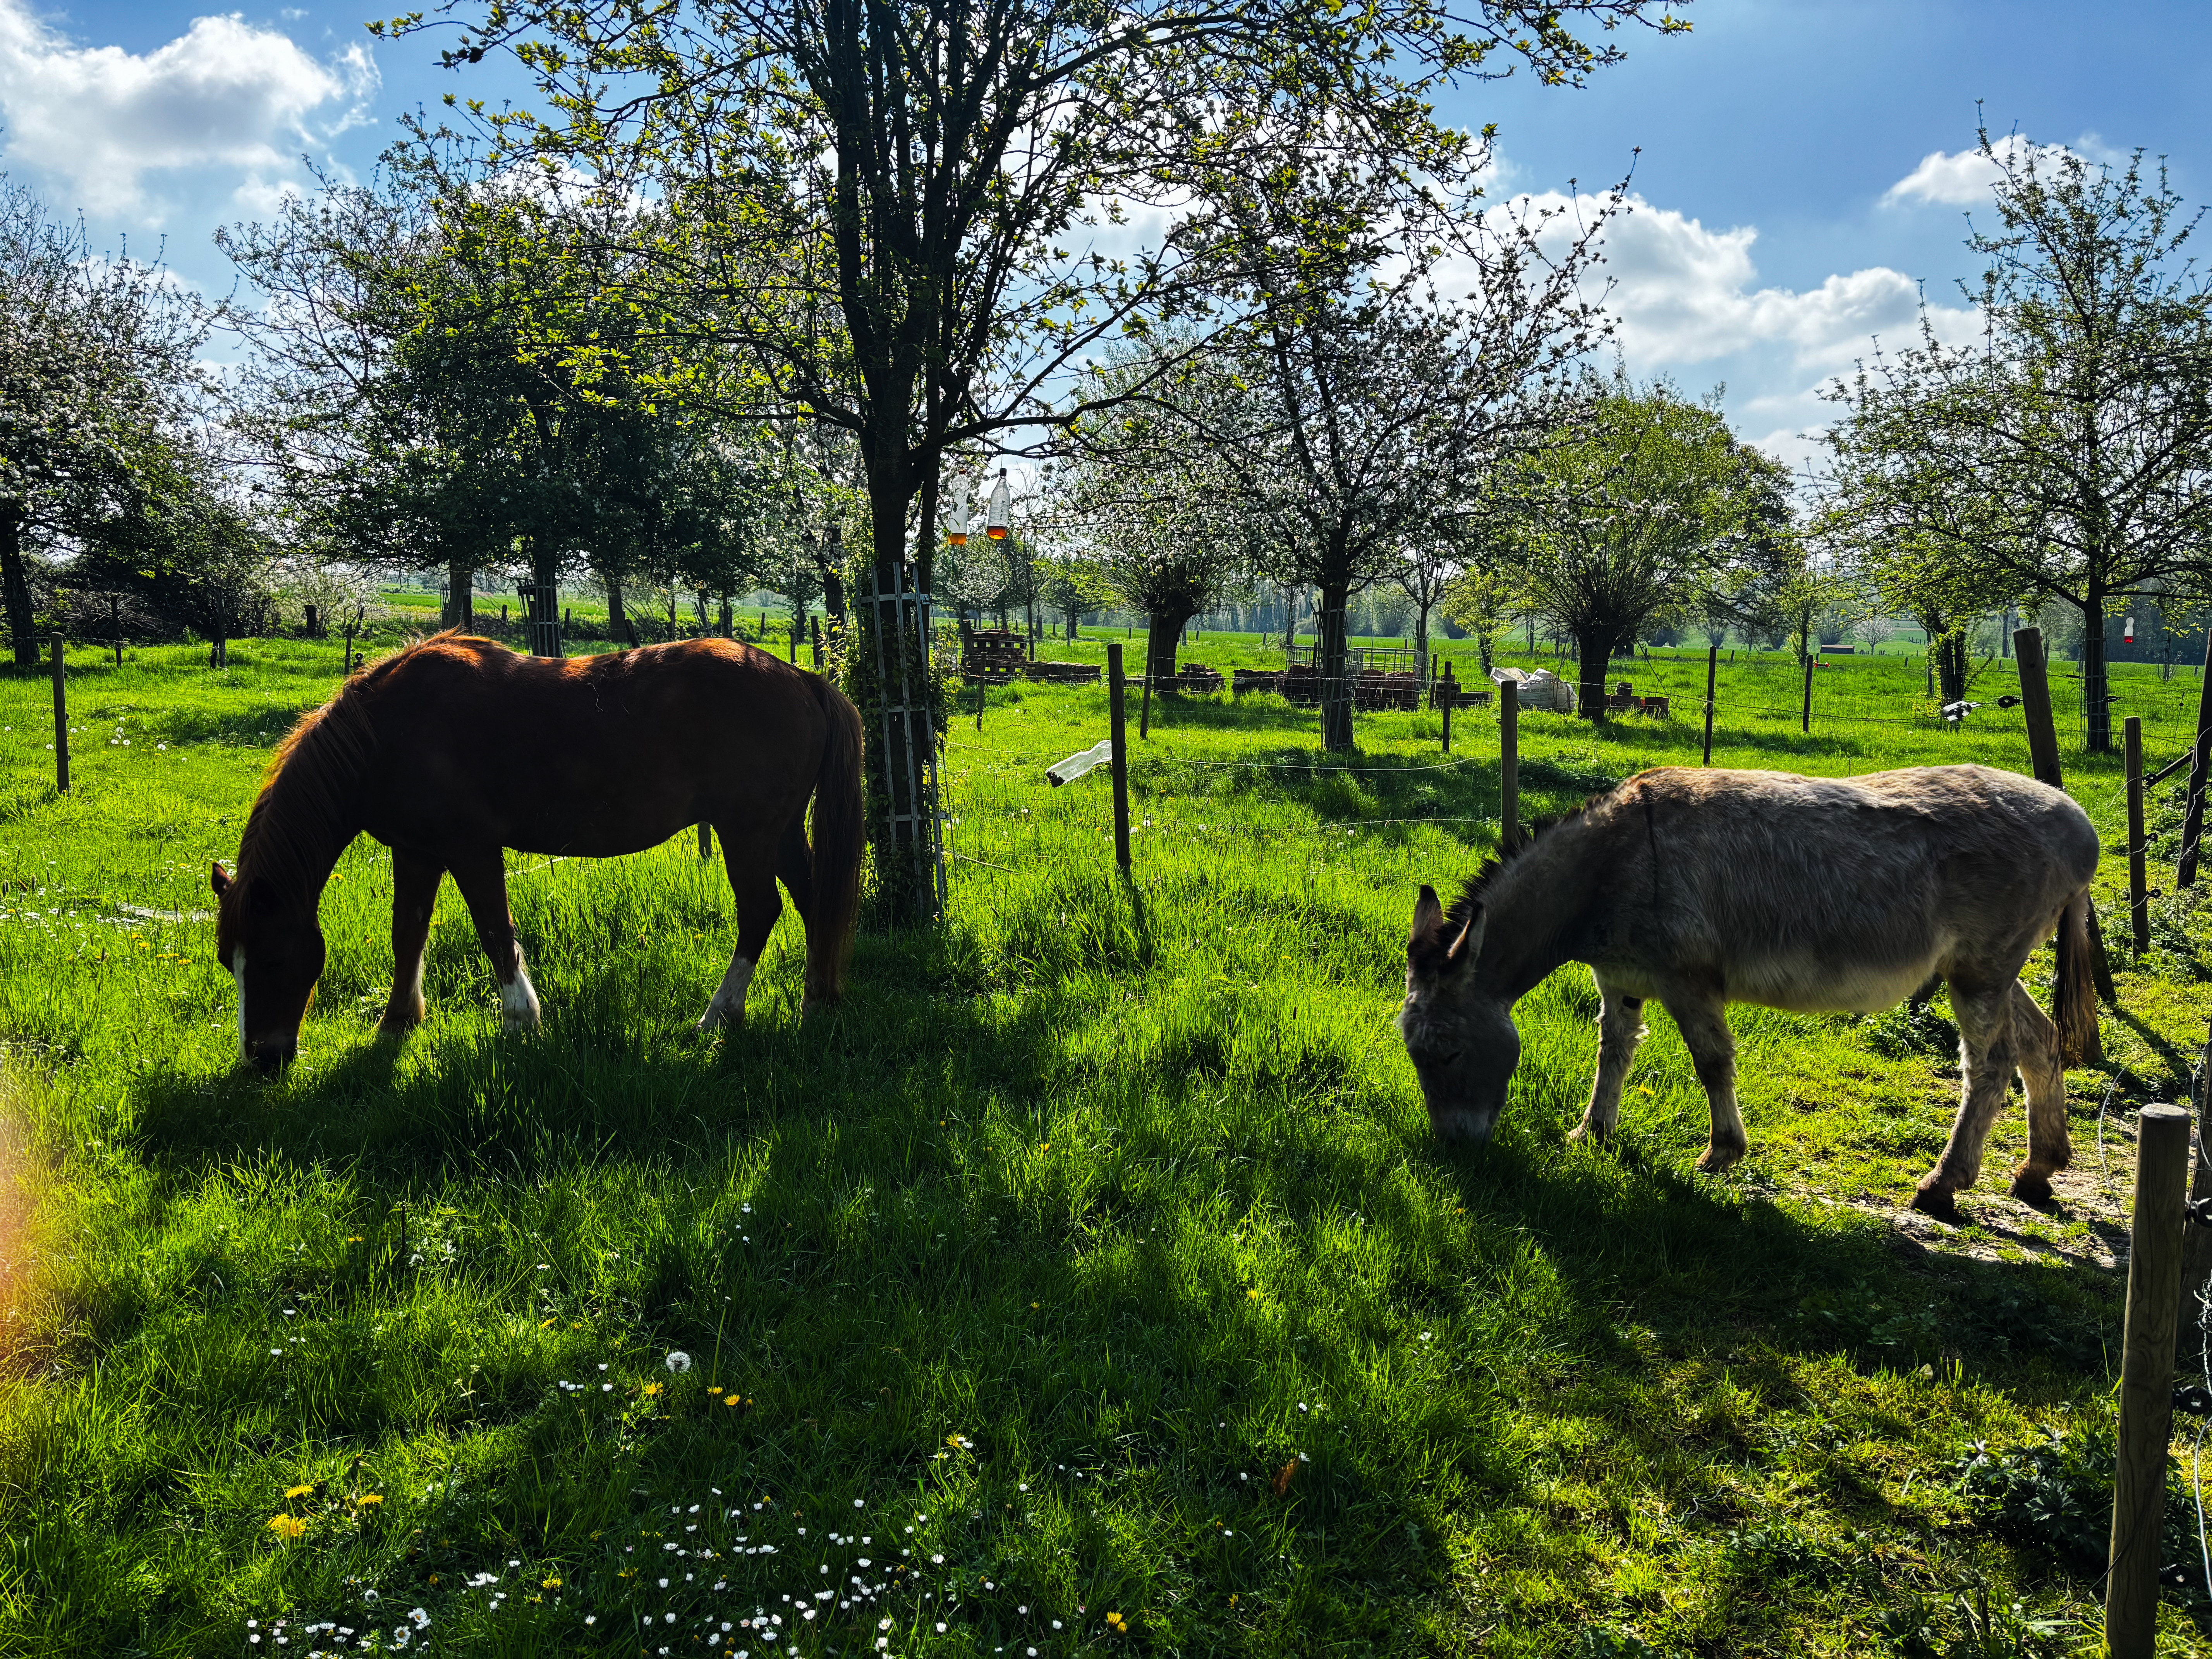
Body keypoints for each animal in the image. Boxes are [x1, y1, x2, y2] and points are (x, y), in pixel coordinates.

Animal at [211, 631, 864, 1070]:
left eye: (271, 958)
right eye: (226, 961)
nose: (261, 1061)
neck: (387, 733)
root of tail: (802, 679)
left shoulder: (470, 847)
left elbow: (495, 931)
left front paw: (521, 1021)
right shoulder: (417, 851)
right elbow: (408, 934)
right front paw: (397, 1023)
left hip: (746, 833)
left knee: (760, 912)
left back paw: (718, 1015)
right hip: (779, 832)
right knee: (813, 903)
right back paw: (818, 1000)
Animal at [1397, 765, 2101, 1220]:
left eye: (1448, 1052)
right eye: (1415, 1056)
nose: (1455, 1150)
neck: (1608, 865)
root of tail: (2077, 820)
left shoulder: (1687, 980)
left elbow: (1711, 1061)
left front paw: (1721, 1153)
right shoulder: (1621, 978)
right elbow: (1614, 1050)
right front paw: (1591, 1132)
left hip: (1980, 969)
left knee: (1990, 1063)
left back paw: (1943, 1184)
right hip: (1987, 968)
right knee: (2038, 1040)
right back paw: (2039, 1169)